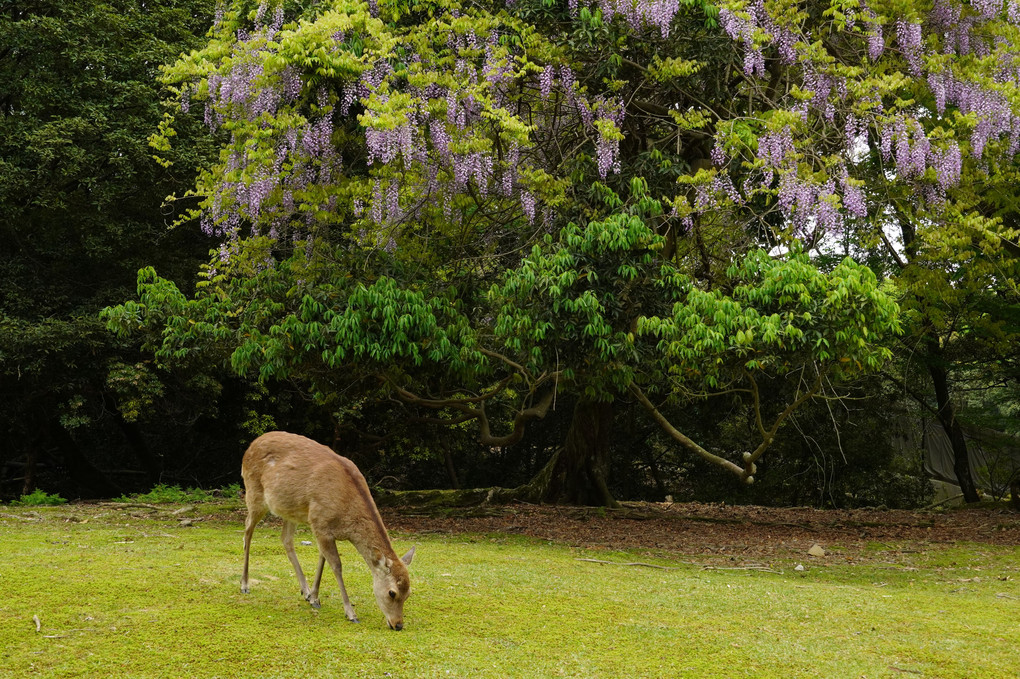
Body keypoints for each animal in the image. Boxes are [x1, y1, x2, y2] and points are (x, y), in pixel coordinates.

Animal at [239, 430, 414, 628]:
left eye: (409, 593)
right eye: (392, 592)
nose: (398, 625)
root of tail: (250, 446)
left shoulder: (323, 528)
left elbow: (322, 559)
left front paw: (314, 597)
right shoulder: (320, 521)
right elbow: (336, 565)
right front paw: (351, 613)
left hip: (290, 510)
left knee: (285, 539)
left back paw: (304, 590)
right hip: (253, 493)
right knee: (247, 531)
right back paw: (244, 585)